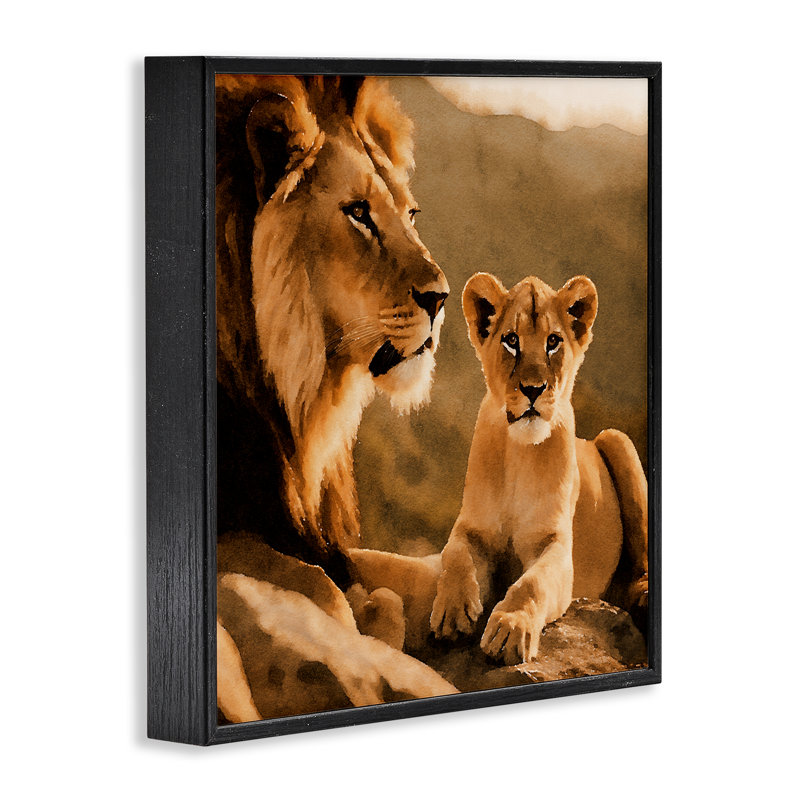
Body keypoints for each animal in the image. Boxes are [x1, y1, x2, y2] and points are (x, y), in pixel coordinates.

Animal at [215, 75, 454, 721]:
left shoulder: (313, 531)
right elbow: (330, 592)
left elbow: (416, 570)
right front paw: (367, 619)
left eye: (411, 213)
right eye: (358, 214)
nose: (442, 298)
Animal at [430, 272, 648, 665]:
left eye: (553, 342)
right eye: (511, 341)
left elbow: (531, 584)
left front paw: (509, 628)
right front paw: (452, 612)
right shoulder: (471, 527)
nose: (533, 389)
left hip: (617, 439)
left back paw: (642, 593)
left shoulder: (556, 546)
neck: (521, 453)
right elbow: (455, 556)